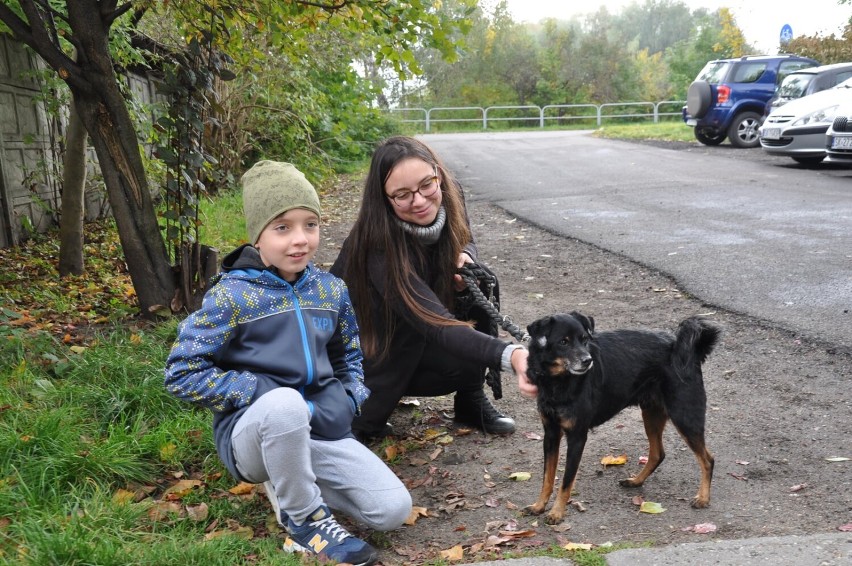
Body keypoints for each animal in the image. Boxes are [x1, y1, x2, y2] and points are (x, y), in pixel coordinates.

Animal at [524, 312, 720, 524]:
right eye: (563, 342)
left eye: (585, 340)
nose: (587, 360)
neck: (557, 381)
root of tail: (685, 349)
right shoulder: (551, 434)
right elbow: (547, 478)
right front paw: (539, 506)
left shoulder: (577, 436)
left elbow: (566, 481)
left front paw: (557, 512)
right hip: (651, 414)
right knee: (658, 453)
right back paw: (636, 481)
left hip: (685, 417)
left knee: (708, 459)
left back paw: (703, 498)